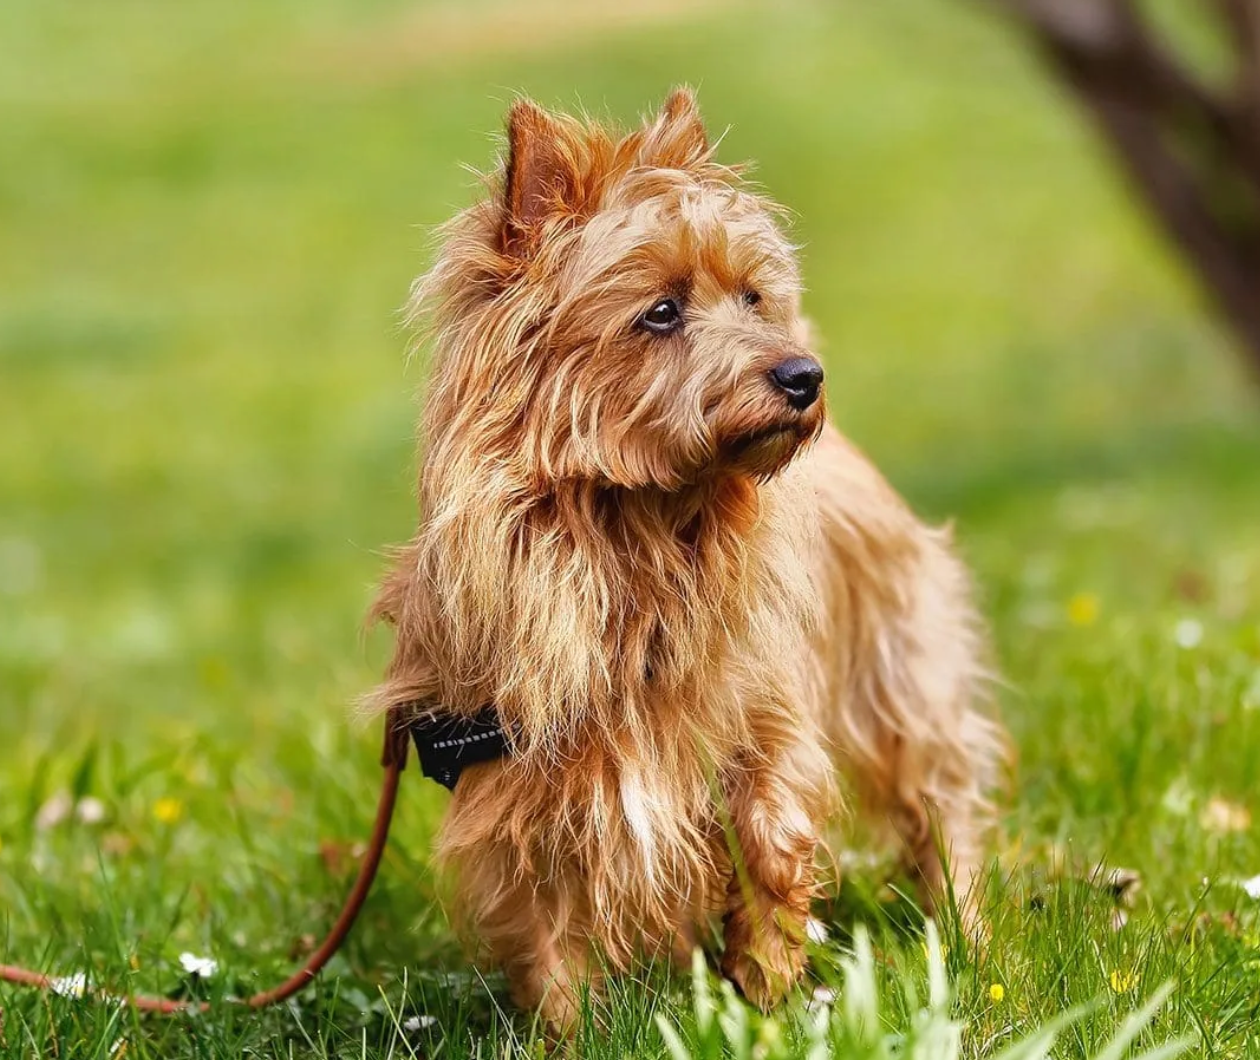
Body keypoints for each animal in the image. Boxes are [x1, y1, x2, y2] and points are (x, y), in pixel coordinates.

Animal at [367, 90, 1002, 1033]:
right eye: (660, 312)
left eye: (752, 295)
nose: (804, 375)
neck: (639, 531)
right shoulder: (520, 781)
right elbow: (546, 926)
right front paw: (572, 1035)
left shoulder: (764, 722)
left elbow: (772, 849)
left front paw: (768, 999)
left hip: (899, 671)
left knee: (941, 802)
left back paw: (969, 937)